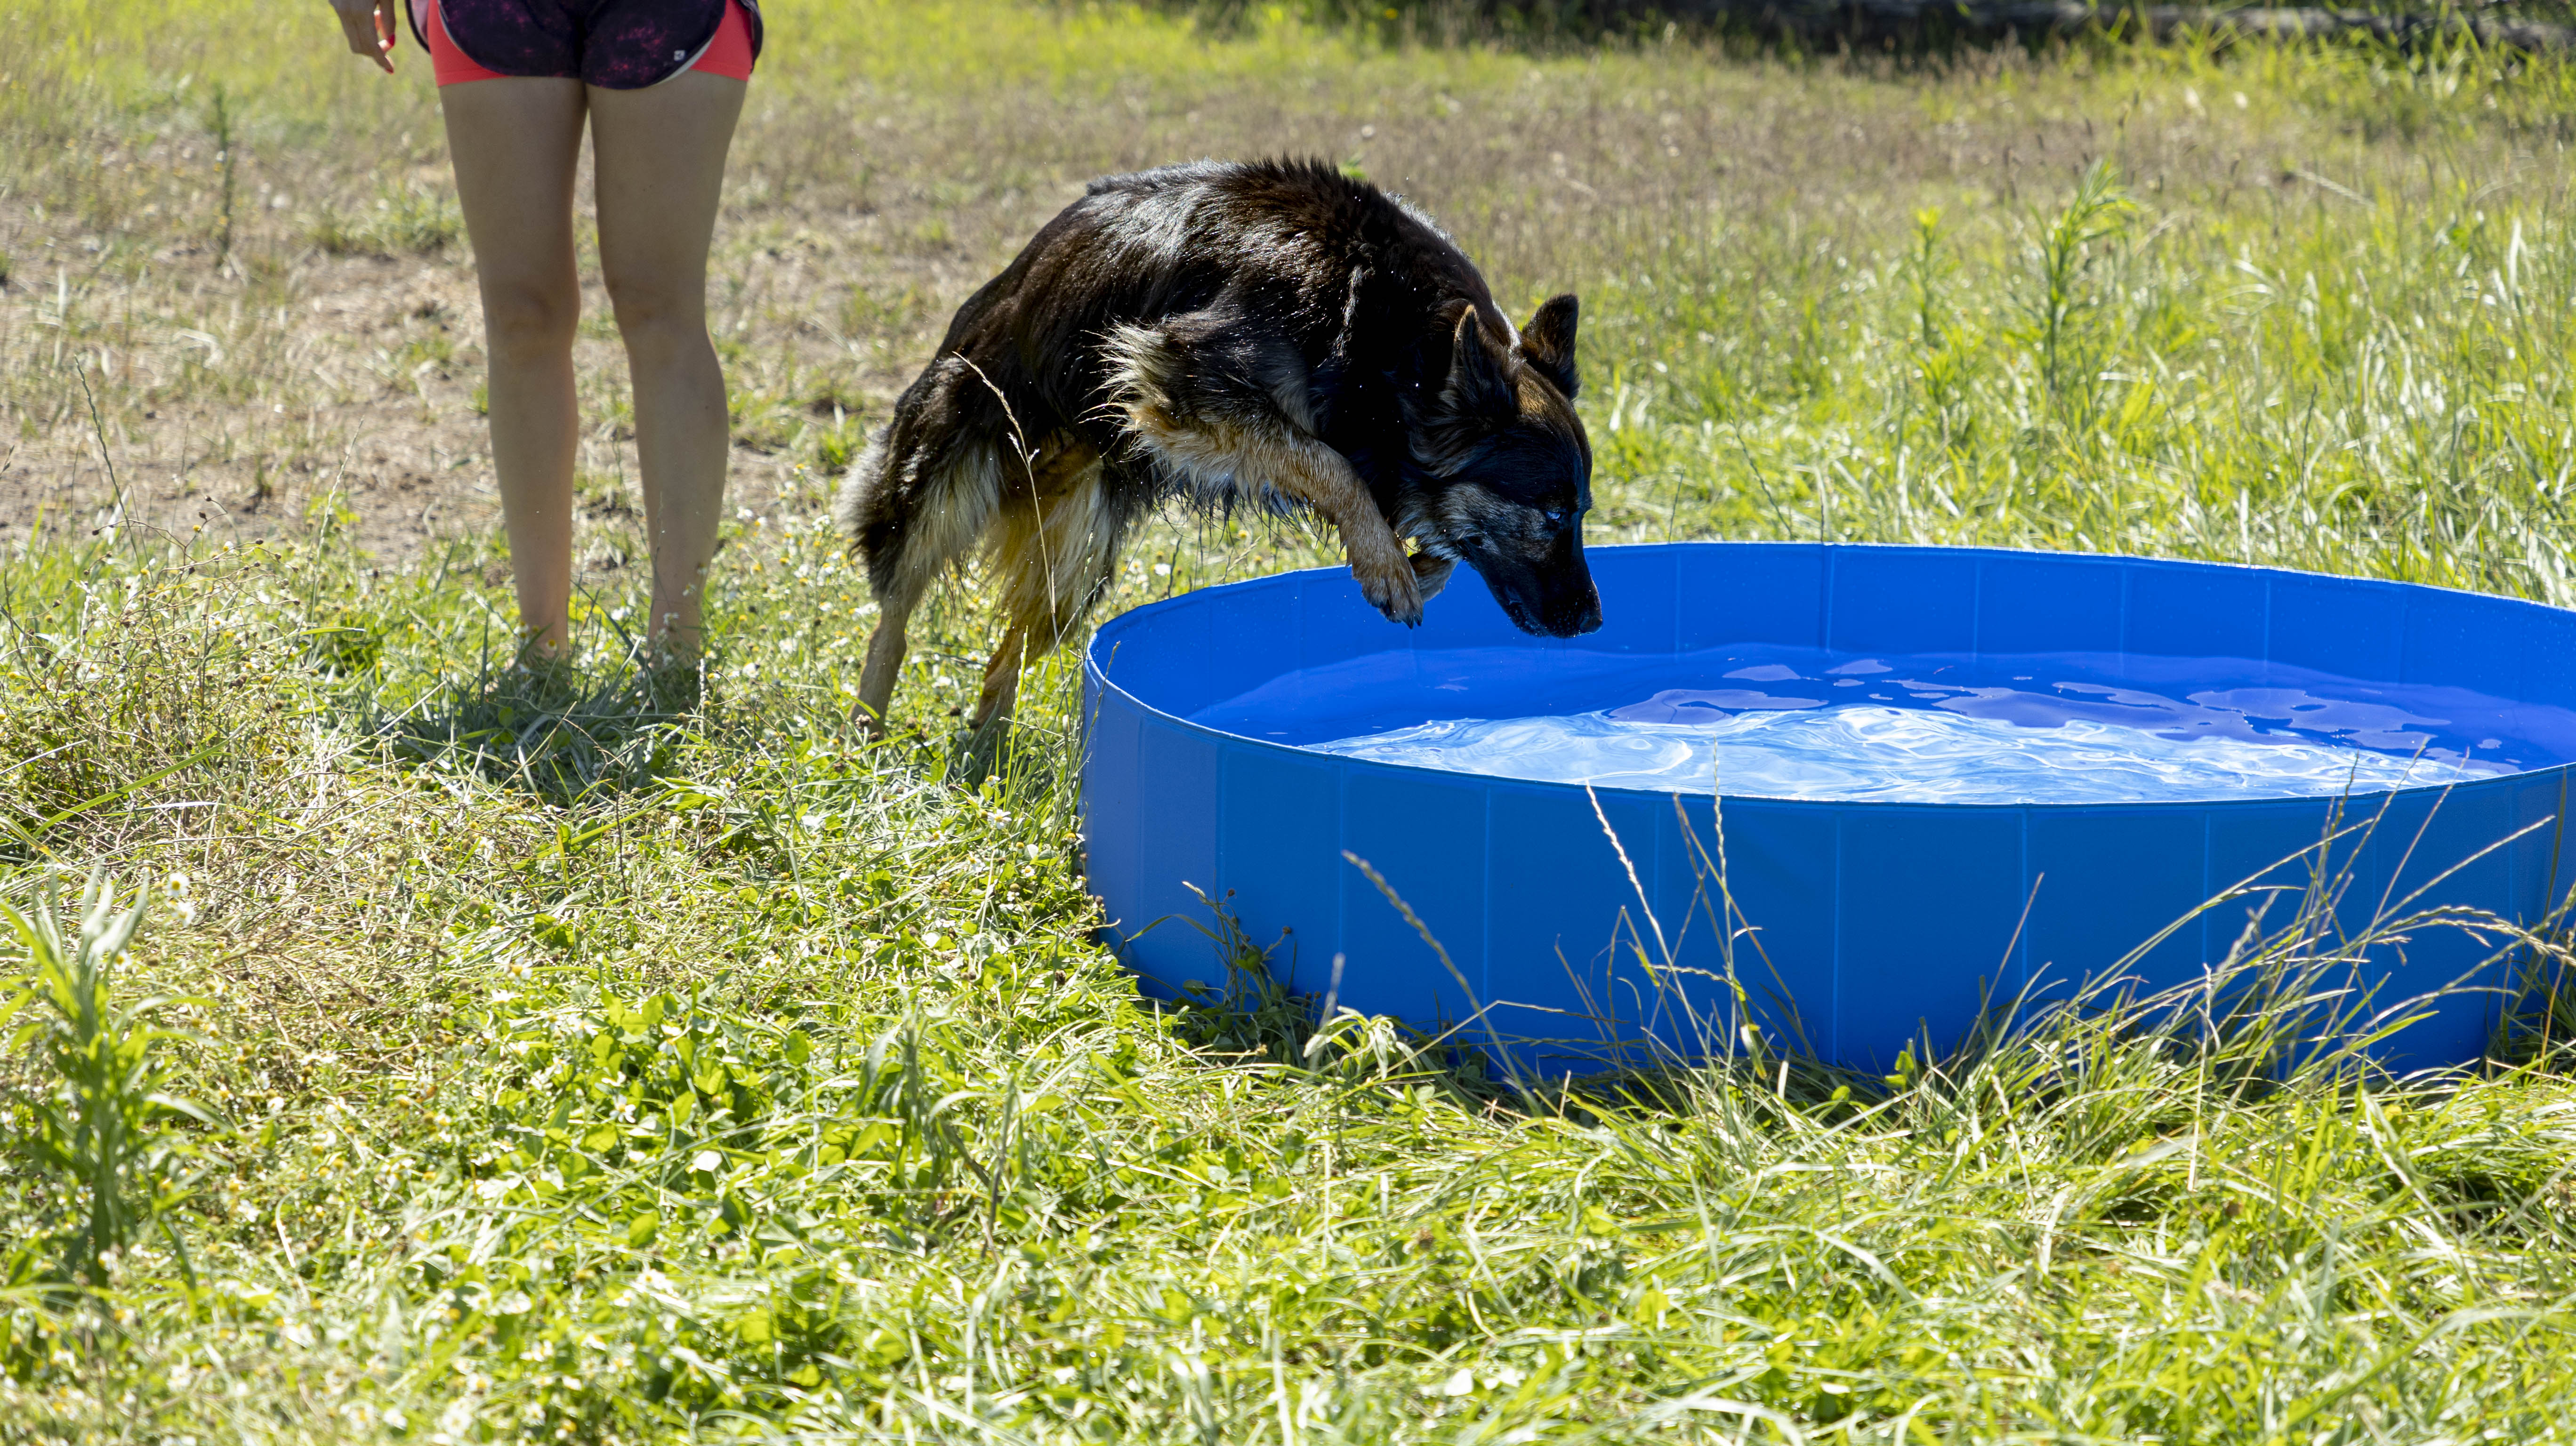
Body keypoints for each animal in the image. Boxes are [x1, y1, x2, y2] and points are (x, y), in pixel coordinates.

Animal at [834, 160, 1597, 732]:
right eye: (1555, 515)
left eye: (1582, 513)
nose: (1593, 622)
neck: (1394, 339)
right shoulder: (1174, 381)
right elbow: (1330, 463)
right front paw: (1386, 563)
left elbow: (1385, 499)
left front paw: (1416, 561)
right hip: (948, 474)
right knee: (897, 606)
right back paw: (867, 726)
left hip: (1077, 560)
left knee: (1009, 654)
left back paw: (989, 751)